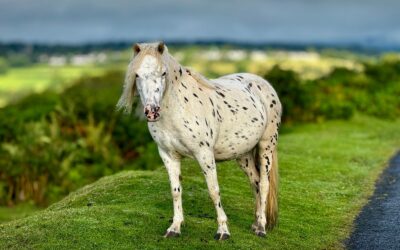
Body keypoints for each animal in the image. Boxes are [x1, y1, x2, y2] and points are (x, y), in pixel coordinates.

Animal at [117, 42, 282, 240]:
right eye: (137, 74)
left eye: (163, 73)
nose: (152, 112)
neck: (178, 109)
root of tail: (264, 84)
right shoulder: (168, 155)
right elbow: (175, 191)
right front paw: (174, 228)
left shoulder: (204, 154)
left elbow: (213, 190)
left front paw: (223, 231)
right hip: (243, 154)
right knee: (255, 182)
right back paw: (256, 223)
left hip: (266, 146)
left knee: (264, 184)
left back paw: (261, 228)